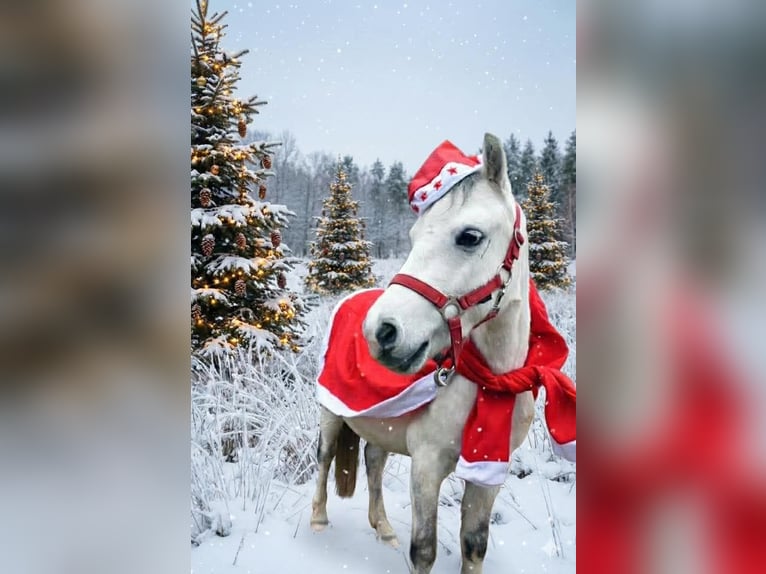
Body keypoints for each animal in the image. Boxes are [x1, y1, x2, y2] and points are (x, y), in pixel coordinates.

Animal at [310, 133, 535, 574]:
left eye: (470, 236)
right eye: (413, 237)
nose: (380, 331)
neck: (491, 378)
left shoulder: (489, 477)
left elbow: (474, 544)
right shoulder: (428, 467)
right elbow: (424, 550)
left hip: (377, 423)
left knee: (373, 460)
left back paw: (382, 529)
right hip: (330, 414)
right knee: (325, 458)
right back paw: (318, 522)